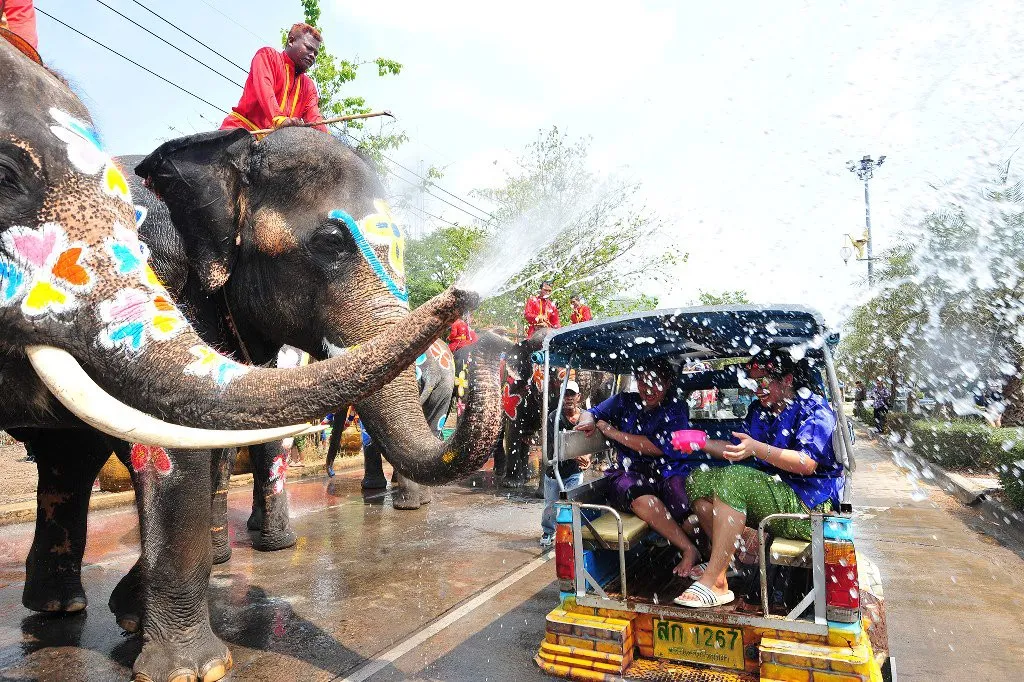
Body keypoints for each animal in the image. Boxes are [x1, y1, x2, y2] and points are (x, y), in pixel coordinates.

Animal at [3, 38, 499, 679]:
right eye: (332, 242)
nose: (469, 306)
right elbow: (175, 448)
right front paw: (191, 669)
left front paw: (142, 621)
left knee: (67, 458)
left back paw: (65, 608)